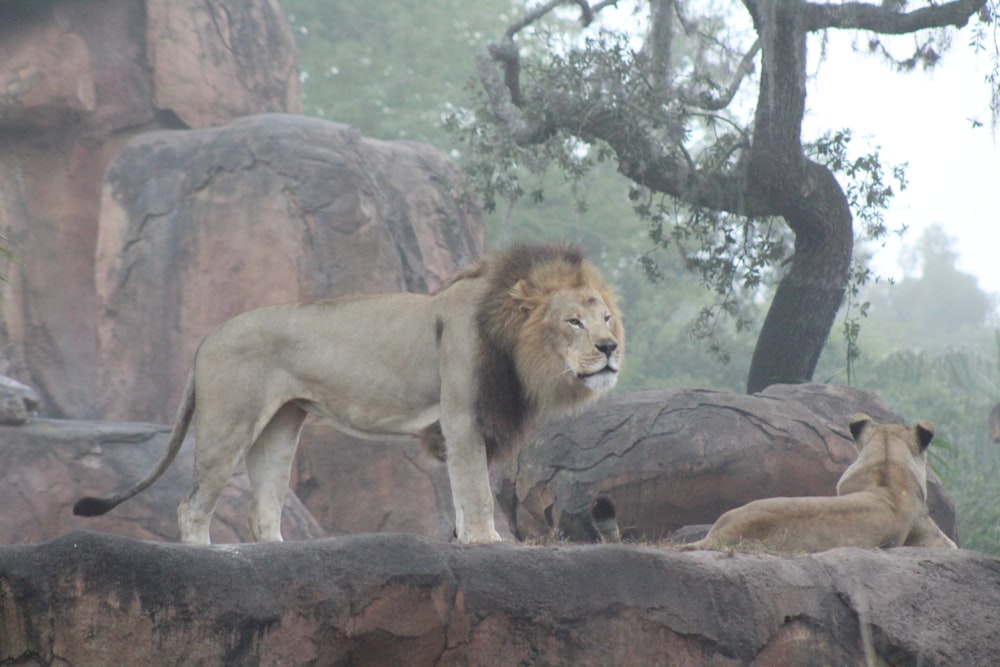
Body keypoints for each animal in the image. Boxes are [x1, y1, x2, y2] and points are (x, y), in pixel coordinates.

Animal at [78, 243, 620, 544]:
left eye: (607, 318)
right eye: (574, 321)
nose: (610, 347)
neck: (513, 345)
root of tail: (205, 340)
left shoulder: (476, 422)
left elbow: (467, 489)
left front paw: (468, 538)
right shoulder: (462, 415)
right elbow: (476, 490)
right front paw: (488, 541)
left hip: (280, 426)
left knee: (262, 508)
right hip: (227, 424)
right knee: (191, 507)